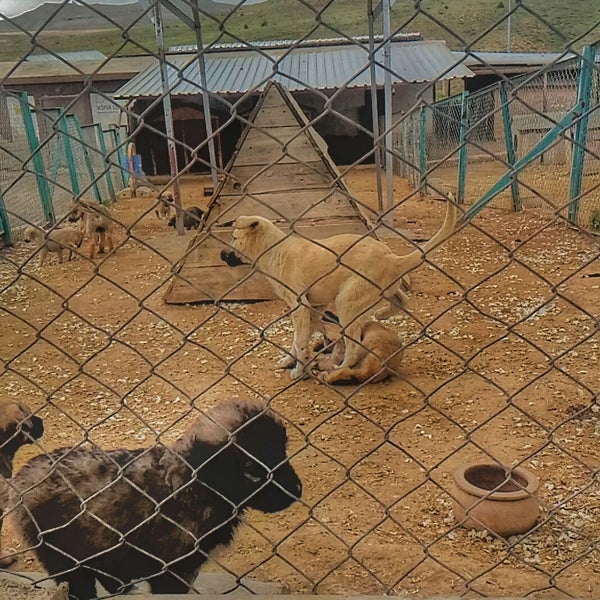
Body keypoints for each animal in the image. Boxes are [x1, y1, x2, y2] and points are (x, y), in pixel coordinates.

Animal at [9, 398, 300, 600]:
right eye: (252, 469)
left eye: (283, 451)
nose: (297, 490)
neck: (194, 482)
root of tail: (24, 475)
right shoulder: (173, 570)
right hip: (60, 555)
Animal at [221, 196, 460, 380]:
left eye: (233, 237)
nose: (221, 255)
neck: (274, 251)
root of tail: (391, 257)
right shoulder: (313, 308)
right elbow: (297, 340)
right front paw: (289, 360)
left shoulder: (301, 306)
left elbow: (300, 342)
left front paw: (298, 370)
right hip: (378, 290)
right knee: (401, 299)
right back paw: (383, 314)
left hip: (346, 302)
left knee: (354, 348)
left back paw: (339, 368)